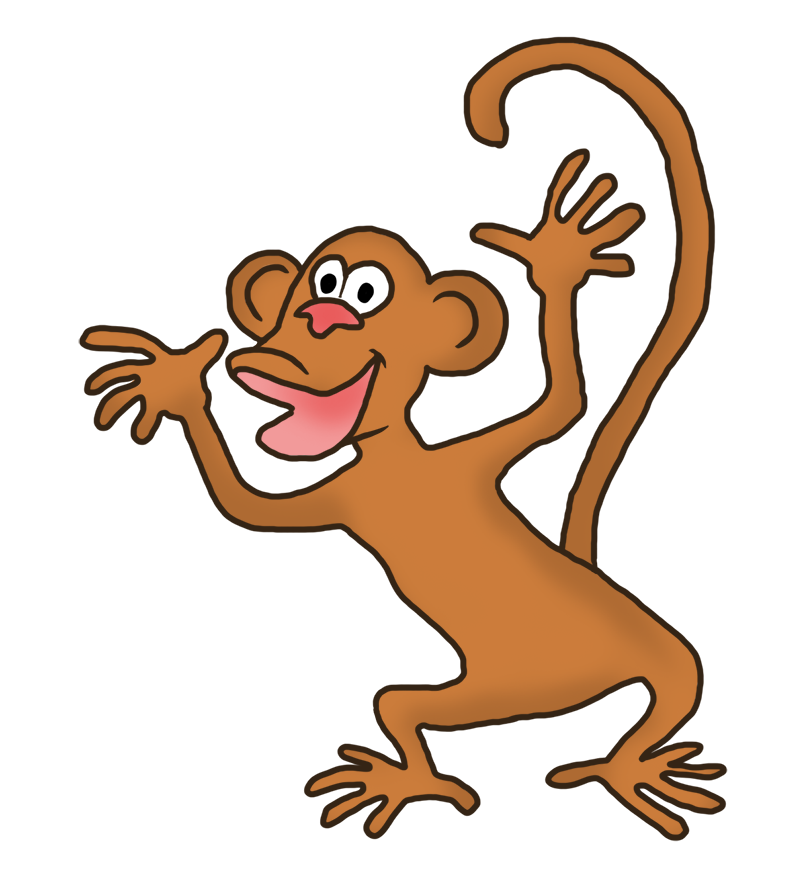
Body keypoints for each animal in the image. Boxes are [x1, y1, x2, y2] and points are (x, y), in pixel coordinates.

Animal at [87, 43, 718, 836]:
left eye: (363, 293)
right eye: (314, 288)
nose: (318, 321)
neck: (396, 464)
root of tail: (561, 692)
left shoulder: (470, 459)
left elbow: (565, 402)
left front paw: (556, 262)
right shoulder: (344, 493)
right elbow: (247, 508)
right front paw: (176, 385)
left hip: (620, 638)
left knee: (677, 675)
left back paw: (624, 773)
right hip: (487, 688)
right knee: (402, 708)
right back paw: (437, 780)